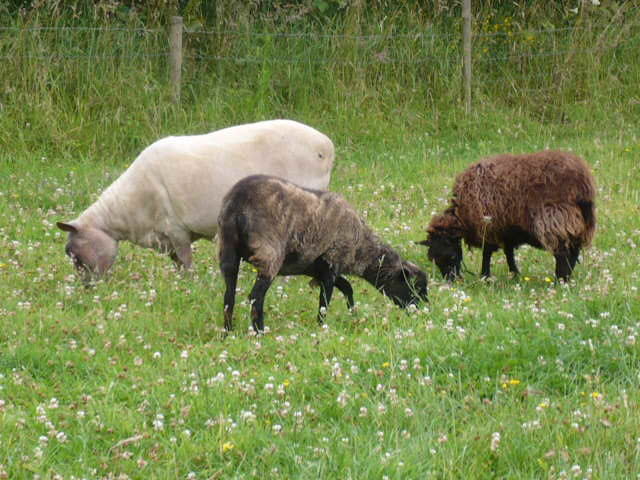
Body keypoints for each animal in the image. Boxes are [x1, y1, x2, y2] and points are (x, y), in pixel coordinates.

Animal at [57, 118, 336, 282]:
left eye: (74, 254)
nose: (86, 287)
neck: (125, 209)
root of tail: (326, 145)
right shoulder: (168, 236)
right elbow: (178, 263)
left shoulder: (176, 229)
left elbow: (186, 261)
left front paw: (189, 285)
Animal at [218, 174, 428, 332]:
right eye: (416, 286)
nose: (422, 311)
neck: (361, 247)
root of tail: (237, 201)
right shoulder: (331, 263)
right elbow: (325, 300)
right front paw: (321, 325)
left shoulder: (317, 268)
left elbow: (347, 287)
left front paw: (353, 313)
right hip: (268, 254)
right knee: (256, 296)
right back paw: (259, 331)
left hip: (228, 253)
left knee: (229, 297)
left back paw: (227, 332)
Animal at [420, 151, 596, 282]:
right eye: (432, 258)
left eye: (450, 254)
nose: (451, 281)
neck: (462, 214)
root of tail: (583, 182)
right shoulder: (506, 229)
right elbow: (509, 253)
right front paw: (514, 274)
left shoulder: (489, 227)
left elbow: (487, 253)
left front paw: (485, 276)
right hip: (579, 221)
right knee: (574, 250)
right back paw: (567, 278)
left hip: (555, 219)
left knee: (563, 252)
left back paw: (561, 279)